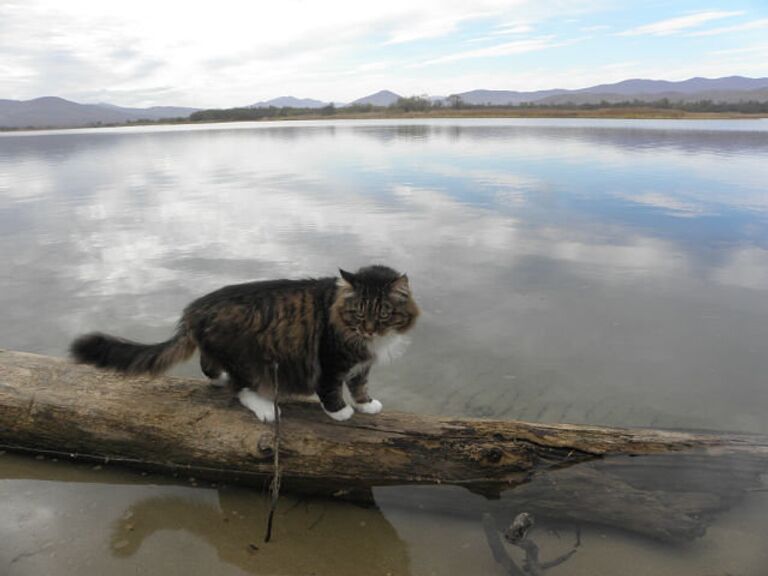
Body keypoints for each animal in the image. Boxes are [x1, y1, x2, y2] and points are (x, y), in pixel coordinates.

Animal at [70, 266, 420, 424]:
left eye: (384, 313)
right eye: (359, 312)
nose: (370, 329)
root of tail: (194, 310)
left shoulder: (361, 365)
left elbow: (360, 384)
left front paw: (365, 404)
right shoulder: (331, 360)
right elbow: (331, 389)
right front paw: (341, 411)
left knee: (210, 368)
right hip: (251, 357)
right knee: (240, 389)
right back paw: (266, 407)